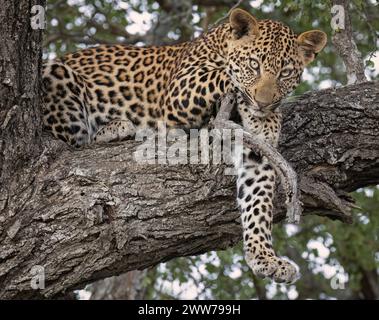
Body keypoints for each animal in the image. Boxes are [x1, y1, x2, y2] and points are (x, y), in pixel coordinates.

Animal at [40, 6, 326, 282]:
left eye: (285, 73)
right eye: (254, 65)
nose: (263, 103)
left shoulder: (254, 153)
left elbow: (258, 201)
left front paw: (264, 257)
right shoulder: (181, 91)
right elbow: (226, 76)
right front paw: (264, 114)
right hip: (56, 75)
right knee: (70, 140)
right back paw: (115, 128)